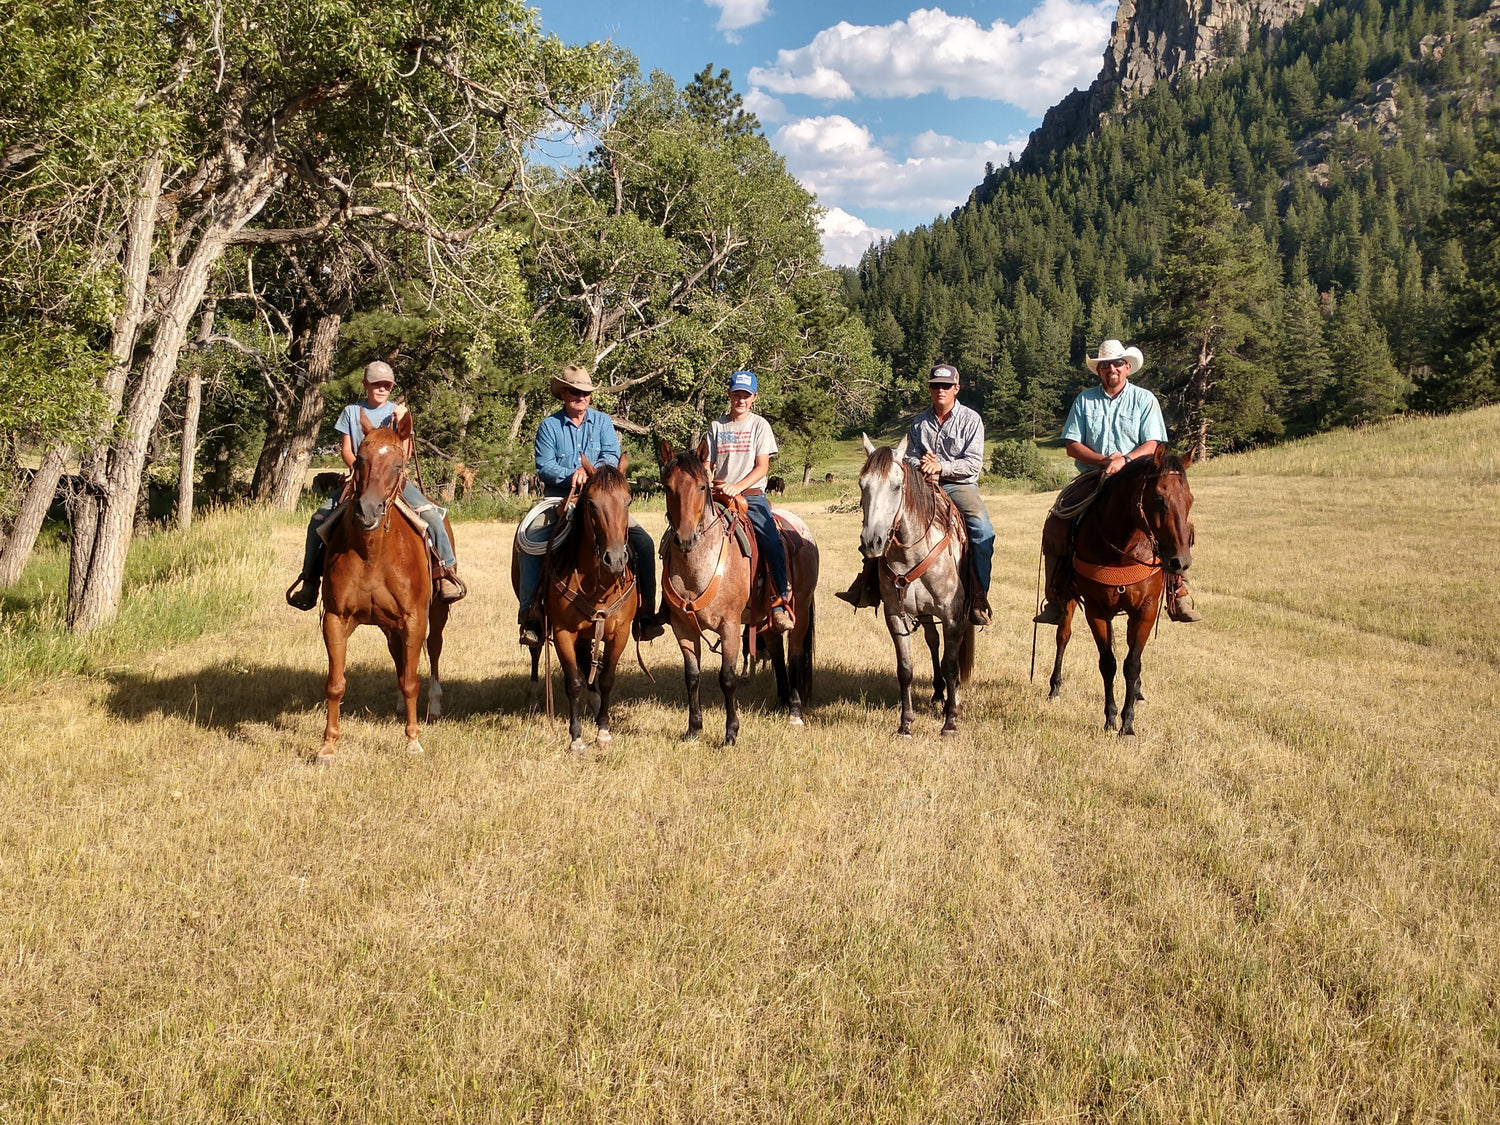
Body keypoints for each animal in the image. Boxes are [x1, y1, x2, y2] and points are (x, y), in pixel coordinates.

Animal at [318, 411, 447, 768]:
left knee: (433, 650)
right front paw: (327, 747)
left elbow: (412, 681)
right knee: (398, 656)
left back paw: (434, 704)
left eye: (398, 465)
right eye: (360, 459)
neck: (372, 554)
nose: (368, 510)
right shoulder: (335, 619)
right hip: (389, 625)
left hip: (436, 614)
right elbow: (335, 684)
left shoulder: (415, 619)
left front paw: (413, 741)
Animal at [510, 453, 639, 753]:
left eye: (627, 501)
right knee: (535, 651)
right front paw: (576, 737)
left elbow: (606, 679)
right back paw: (534, 699)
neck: (598, 585)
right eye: (591, 503)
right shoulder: (563, 633)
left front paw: (603, 731)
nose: (615, 559)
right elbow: (573, 682)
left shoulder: (620, 633)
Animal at [660, 444, 822, 750]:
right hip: (764, 616)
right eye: (667, 487)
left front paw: (730, 733)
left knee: (794, 652)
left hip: (801, 609)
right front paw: (693, 730)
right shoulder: (682, 627)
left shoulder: (730, 626)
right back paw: (781, 701)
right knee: (776, 649)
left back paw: (794, 710)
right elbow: (692, 677)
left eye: (702, 487)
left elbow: (727, 678)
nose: (685, 539)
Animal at [858, 435, 972, 741]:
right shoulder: (895, 615)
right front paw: (905, 724)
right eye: (862, 484)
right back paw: (937, 693)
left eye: (897, 486)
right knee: (933, 642)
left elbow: (951, 665)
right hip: (923, 613)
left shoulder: (952, 616)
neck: (912, 553)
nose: (871, 541)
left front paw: (950, 722)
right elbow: (905, 669)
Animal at [1044, 450, 1194, 741]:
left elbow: (1132, 664)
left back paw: (1137, 692)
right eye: (1159, 499)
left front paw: (1128, 724)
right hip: (1067, 597)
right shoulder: (1097, 610)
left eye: (1190, 499)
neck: (1121, 549)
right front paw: (1111, 718)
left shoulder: (1145, 609)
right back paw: (1055, 687)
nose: (1180, 562)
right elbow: (1108, 663)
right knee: (1063, 636)